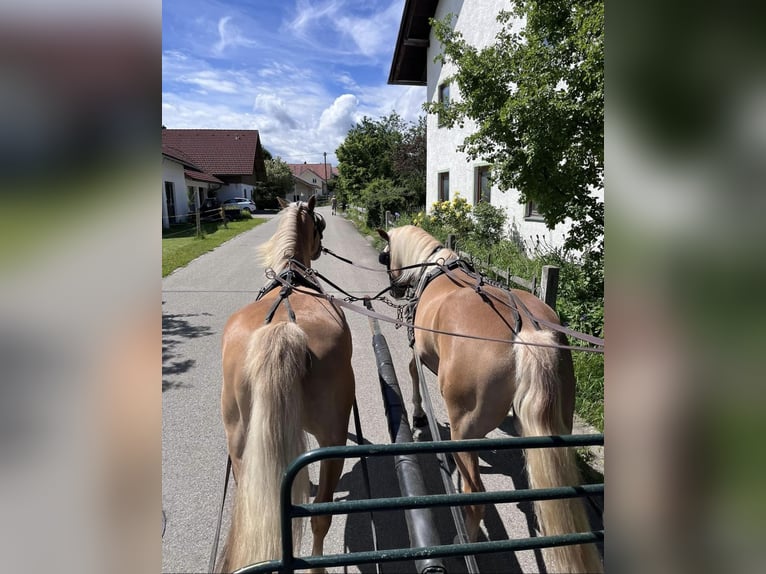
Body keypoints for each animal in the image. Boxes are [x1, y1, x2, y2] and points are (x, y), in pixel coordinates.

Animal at [216, 197, 356, 572]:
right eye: (319, 225)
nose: (320, 248)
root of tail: (282, 329)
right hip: (332, 438)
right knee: (321, 517)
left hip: (239, 440)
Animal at [378, 226, 608, 574]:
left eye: (386, 255)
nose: (394, 290)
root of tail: (528, 333)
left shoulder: (418, 349)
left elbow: (412, 373)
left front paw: (418, 415)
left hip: (463, 430)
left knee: (474, 497)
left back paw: (463, 543)